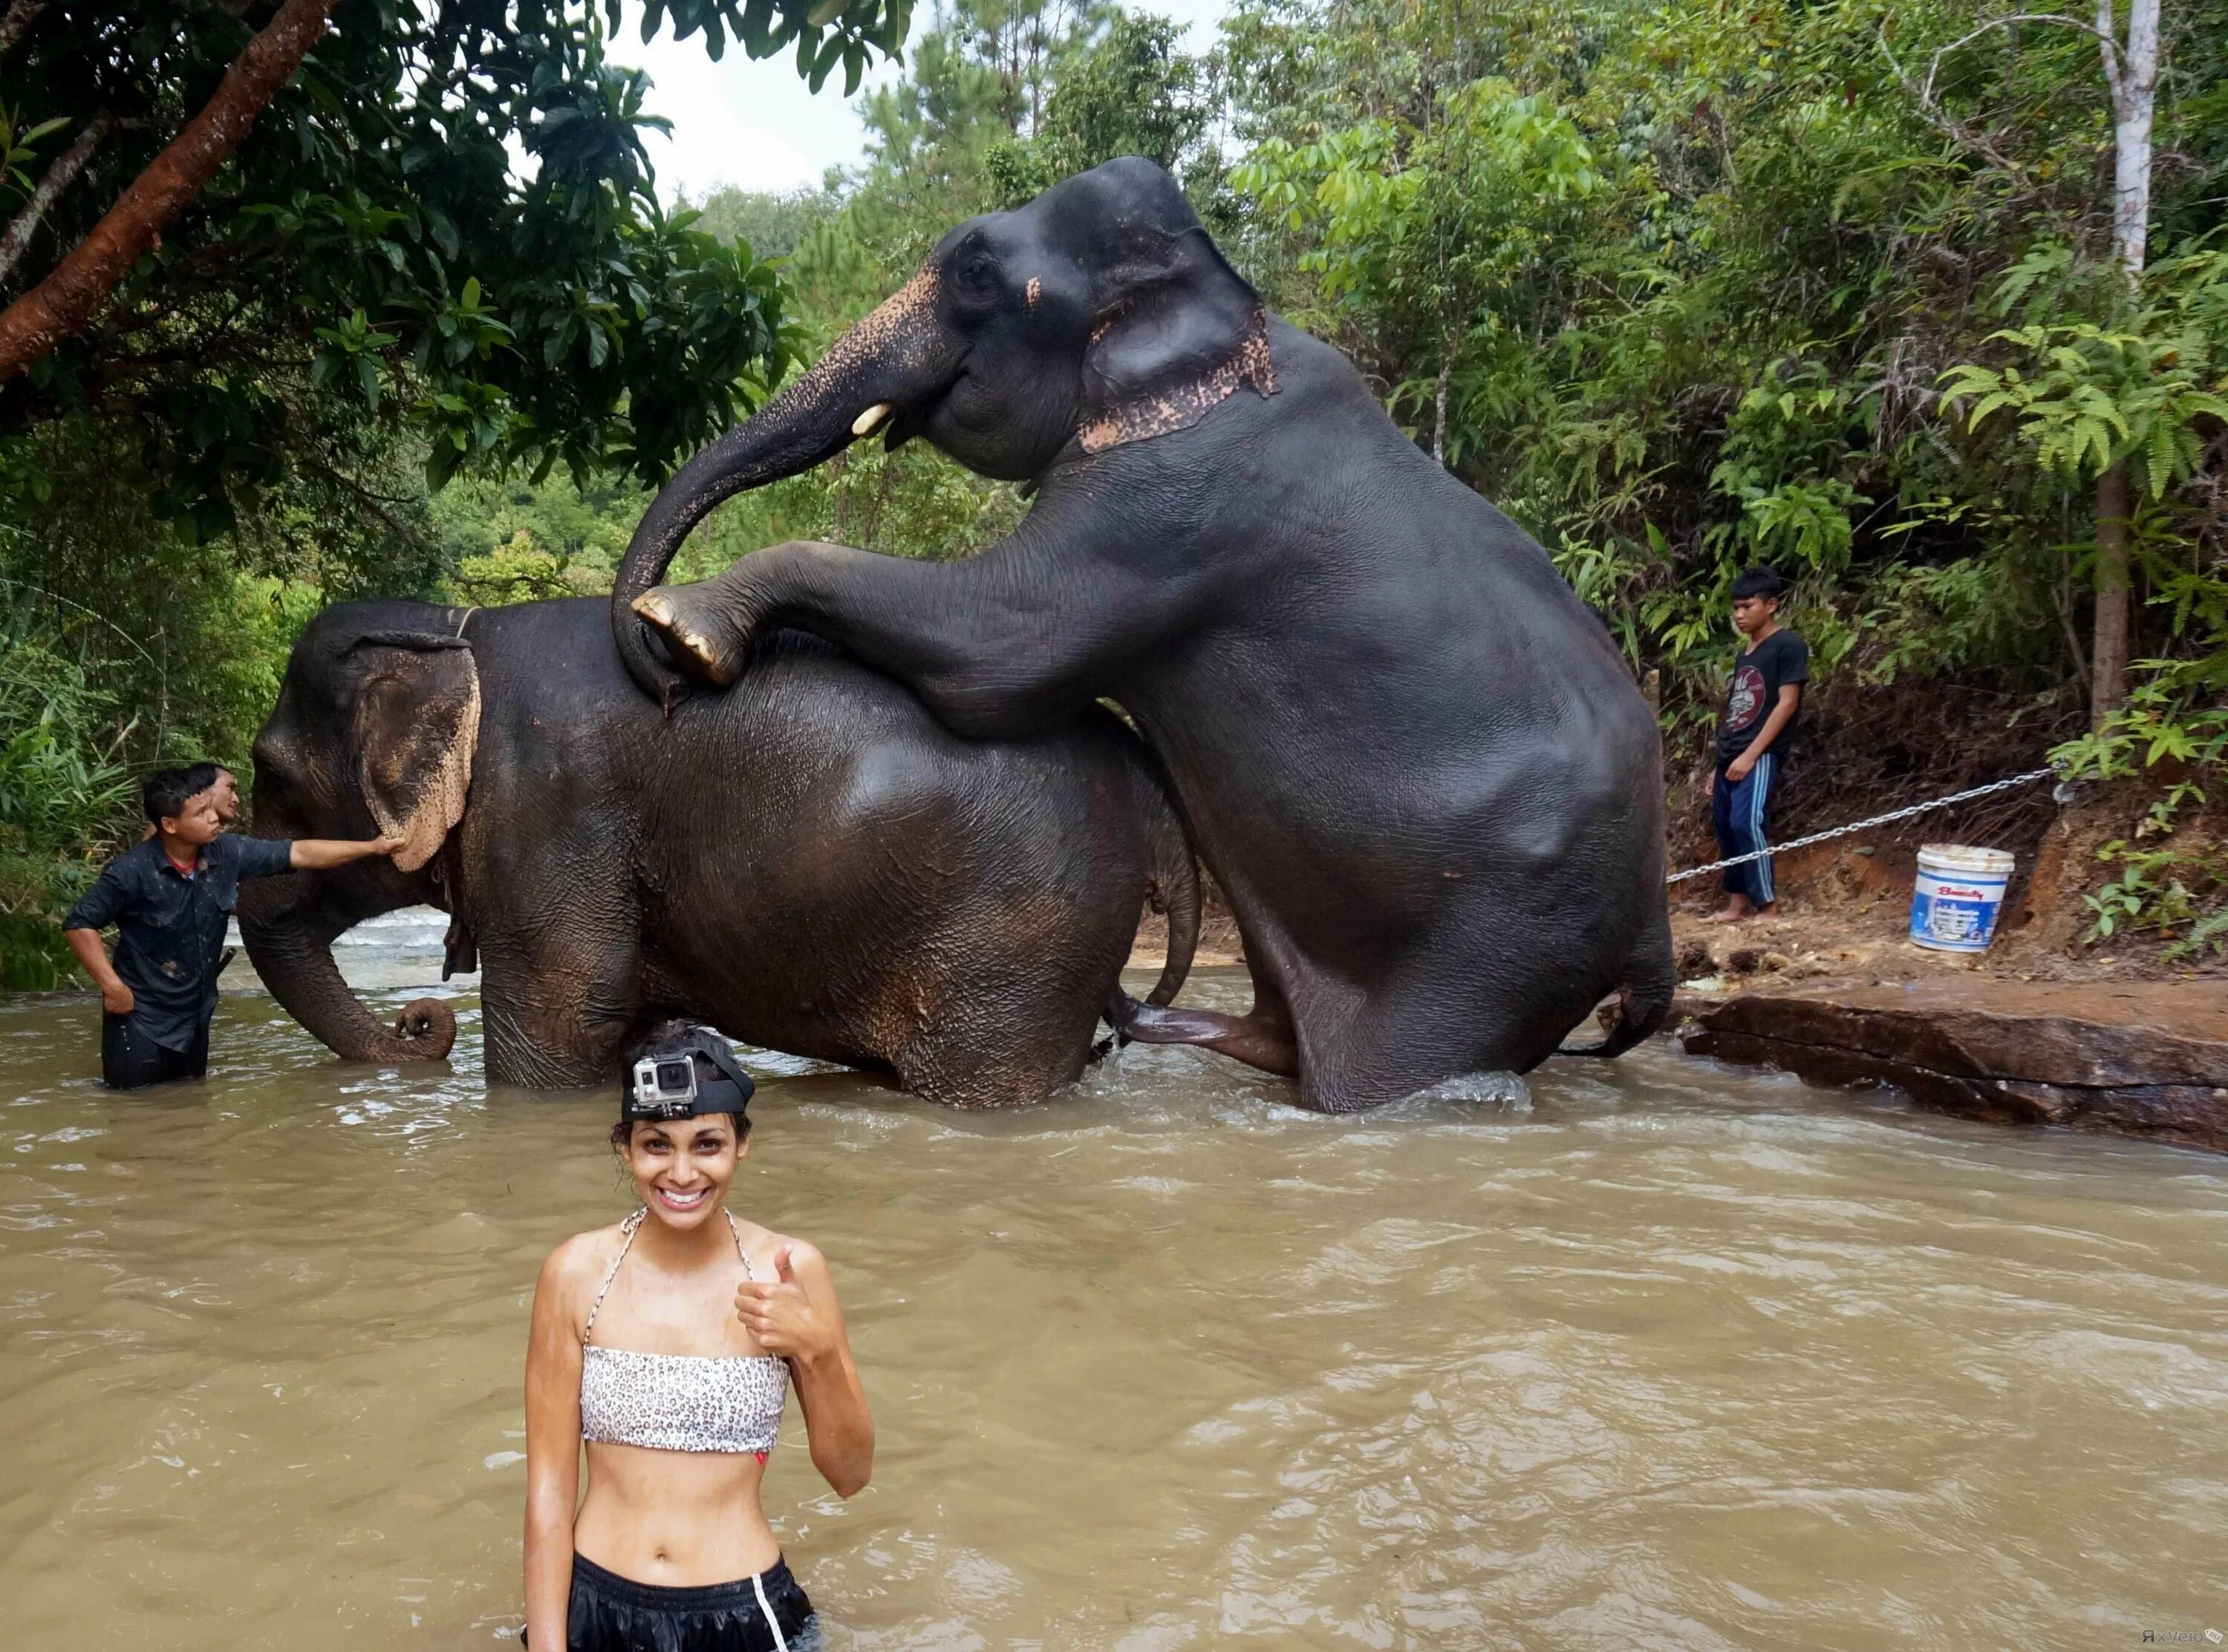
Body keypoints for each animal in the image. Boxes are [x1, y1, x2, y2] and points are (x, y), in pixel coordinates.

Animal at [244, 596, 1203, 1113]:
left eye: (271, 773)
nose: (422, 1022)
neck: (451, 628)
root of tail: (1144, 775)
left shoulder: (549, 809)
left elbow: (565, 1013)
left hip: (1023, 939)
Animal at [610, 155, 1675, 1117]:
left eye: (975, 271)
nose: (651, 673)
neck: (1214, 288)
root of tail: (1657, 927)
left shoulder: (1173, 493)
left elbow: (1001, 651)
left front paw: (685, 626)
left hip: (1504, 934)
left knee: (1395, 1067)